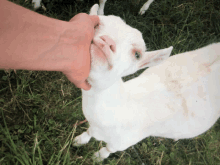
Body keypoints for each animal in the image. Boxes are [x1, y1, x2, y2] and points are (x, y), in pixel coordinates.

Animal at [73, 3, 220, 161]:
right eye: (96, 25)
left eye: (137, 54)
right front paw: (79, 140)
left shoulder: (123, 143)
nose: (106, 42)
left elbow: (108, 149)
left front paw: (98, 157)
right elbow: (89, 133)